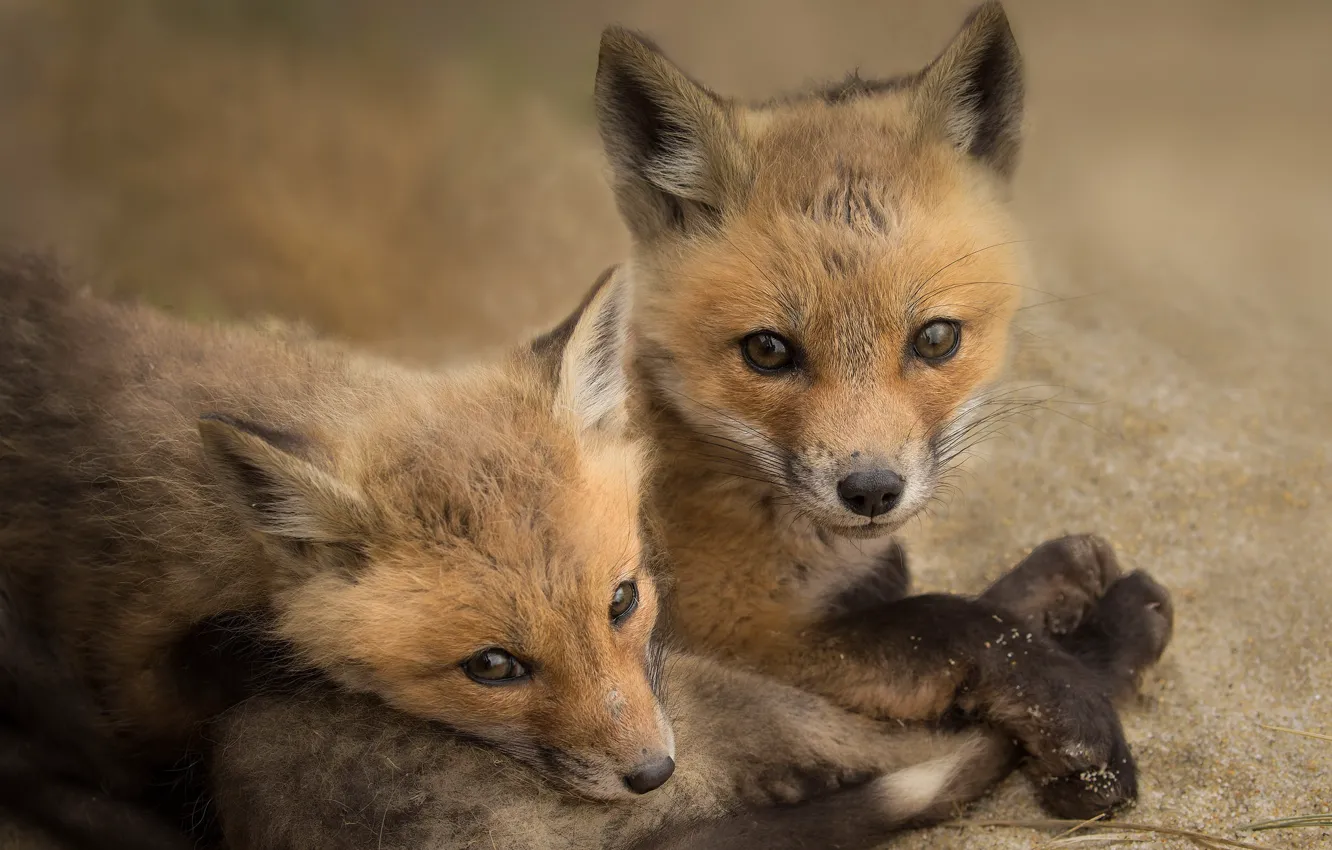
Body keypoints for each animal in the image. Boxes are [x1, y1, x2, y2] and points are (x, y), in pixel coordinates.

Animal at [584, 0, 1175, 817]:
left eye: (935, 338)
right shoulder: (737, 633)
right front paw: (1072, 708)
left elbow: (949, 602)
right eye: (767, 350)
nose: (870, 491)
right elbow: (948, 619)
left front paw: (1061, 590)